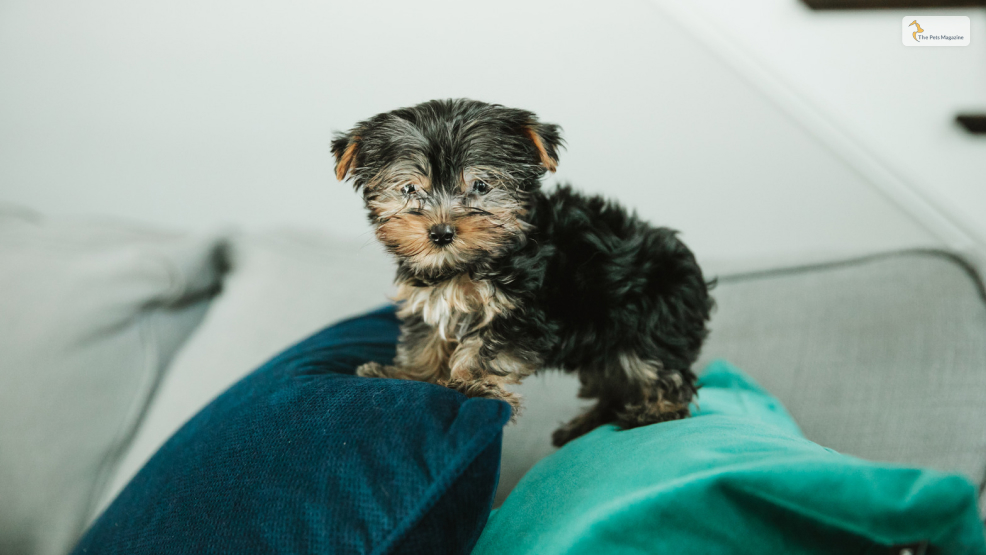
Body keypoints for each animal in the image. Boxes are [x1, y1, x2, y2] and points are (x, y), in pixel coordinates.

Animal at [334, 99, 712, 448]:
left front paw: (471, 385)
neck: (465, 266)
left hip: (648, 326)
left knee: (659, 372)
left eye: (481, 186)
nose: (441, 233)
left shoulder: (523, 309)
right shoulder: (428, 298)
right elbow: (425, 339)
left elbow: (484, 349)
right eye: (409, 189)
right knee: (614, 383)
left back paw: (654, 412)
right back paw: (584, 426)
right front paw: (408, 374)